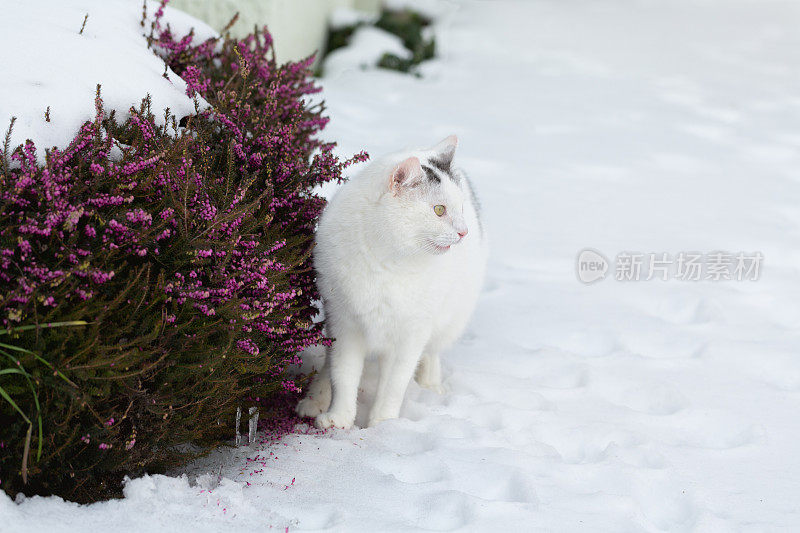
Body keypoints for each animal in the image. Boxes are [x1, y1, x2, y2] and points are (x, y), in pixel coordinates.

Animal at [296, 136, 488, 428]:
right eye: (439, 210)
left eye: (461, 209)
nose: (463, 232)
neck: (388, 262)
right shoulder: (345, 324)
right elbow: (343, 374)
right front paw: (339, 417)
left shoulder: (410, 335)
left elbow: (394, 386)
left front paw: (384, 425)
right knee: (329, 363)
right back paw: (315, 398)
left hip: (451, 316)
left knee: (433, 350)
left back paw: (431, 383)